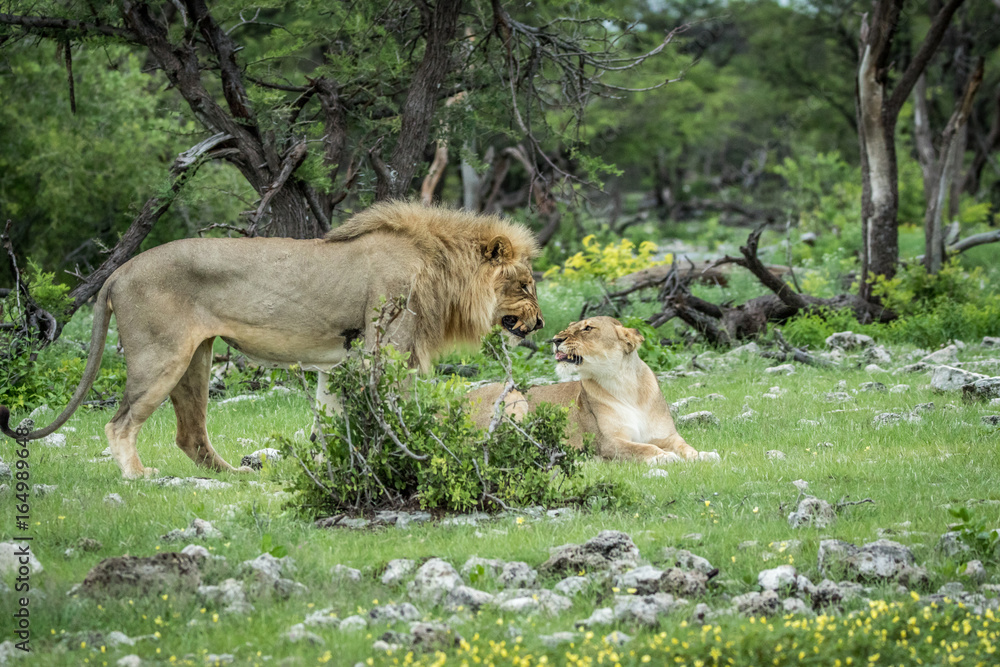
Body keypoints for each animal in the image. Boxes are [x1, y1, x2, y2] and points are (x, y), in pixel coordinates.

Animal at [0, 202, 544, 479]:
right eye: (525, 285)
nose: (539, 324)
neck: (443, 268)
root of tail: (119, 271)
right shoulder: (386, 351)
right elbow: (393, 414)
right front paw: (407, 455)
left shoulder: (342, 360)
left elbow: (330, 419)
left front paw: (331, 463)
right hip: (162, 356)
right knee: (120, 423)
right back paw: (138, 476)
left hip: (195, 360)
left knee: (189, 434)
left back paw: (233, 474)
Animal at [468, 316, 719, 465]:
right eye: (569, 328)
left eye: (588, 328)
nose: (555, 340)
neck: (625, 384)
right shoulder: (608, 442)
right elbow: (643, 448)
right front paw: (666, 457)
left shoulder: (667, 436)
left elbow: (686, 446)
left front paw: (705, 455)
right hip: (513, 395)